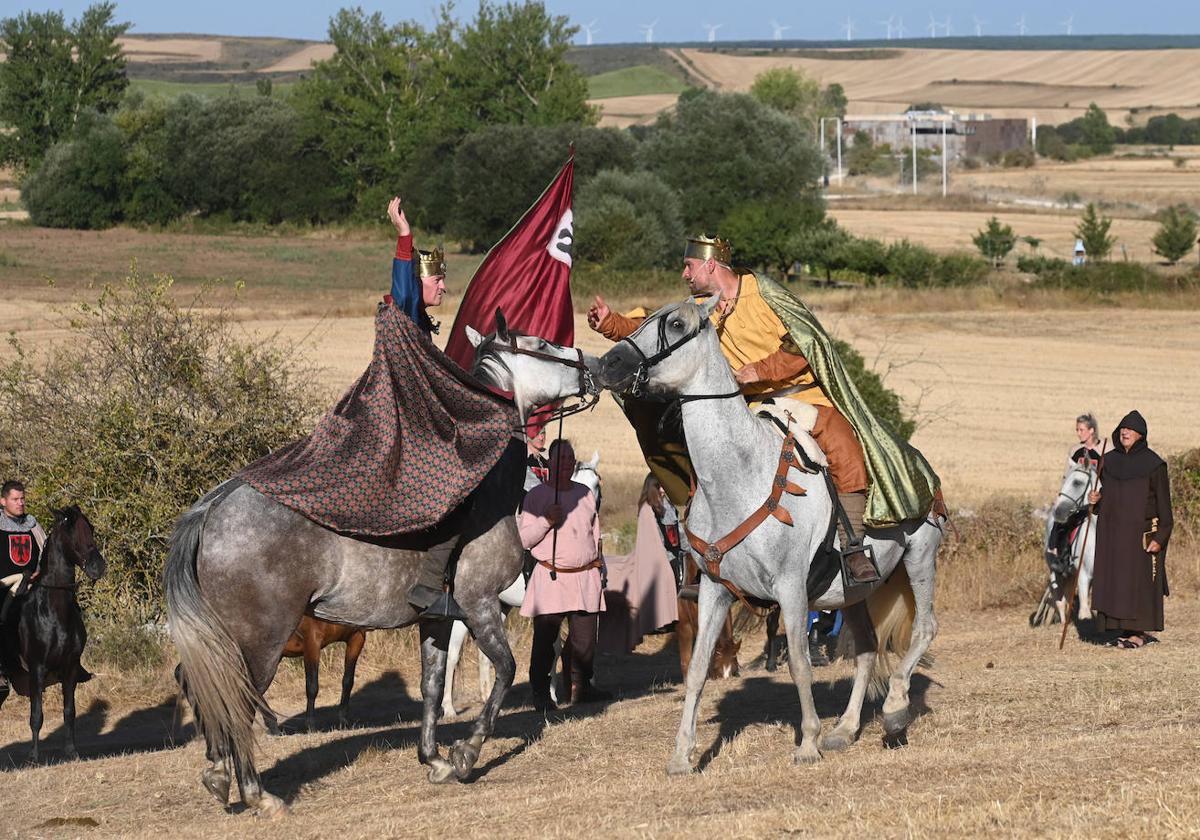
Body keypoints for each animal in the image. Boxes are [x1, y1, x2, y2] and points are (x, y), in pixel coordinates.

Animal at [0, 506, 105, 763]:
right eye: (71, 532)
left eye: (90, 528)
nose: (98, 567)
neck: (53, 611)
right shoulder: (37, 669)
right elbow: (36, 715)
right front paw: (33, 756)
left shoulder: (70, 668)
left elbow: (69, 712)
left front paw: (71, 751)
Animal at [166, 319, 597, 816]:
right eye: (543, 343)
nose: (592, 365)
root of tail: (213, 507)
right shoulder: (480, 605)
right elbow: (506, 670)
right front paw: (466, 753)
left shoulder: (437, 619)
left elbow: (432, 686)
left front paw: (435, 760)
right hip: (260, 639)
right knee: (235, 700)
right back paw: (258, 794)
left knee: (203, 688)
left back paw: (218, 773)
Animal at [595, 296, 940, 772]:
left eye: (678, 323)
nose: (608, 363)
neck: (738, 477)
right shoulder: (715, 589)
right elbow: (698, 668)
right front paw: (682, 755)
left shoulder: (791, 588)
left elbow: (798, 662)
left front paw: (808, 742)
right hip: (853, 590)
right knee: (868, 649)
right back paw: (846, 729)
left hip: (920, 554)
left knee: (924, 629)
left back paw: (894, 710)